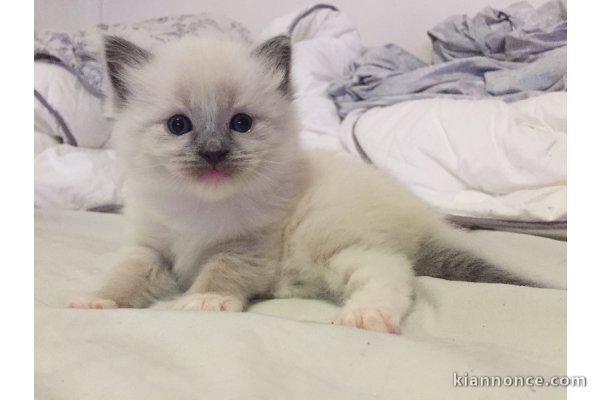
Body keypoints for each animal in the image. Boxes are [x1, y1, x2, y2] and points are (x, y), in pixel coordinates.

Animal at [70, 35, 540, 334]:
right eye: (178, 125)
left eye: (241, 123)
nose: (214, 153)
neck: (200, 208)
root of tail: (420, 214)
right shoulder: (149, 249)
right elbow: (123, 278)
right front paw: (97, 302)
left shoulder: (246, 247)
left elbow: (219, 273)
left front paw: (204, 302)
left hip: (327, 240)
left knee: (392, 273)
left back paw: (365, 318)